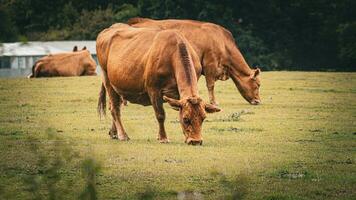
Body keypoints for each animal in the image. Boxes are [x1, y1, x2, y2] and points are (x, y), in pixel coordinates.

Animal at [128, 18, 262, 105]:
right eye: (258, 84)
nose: (258, 101)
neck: (223, 43)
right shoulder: (210, 64)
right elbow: (210, 85)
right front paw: (214, 102)